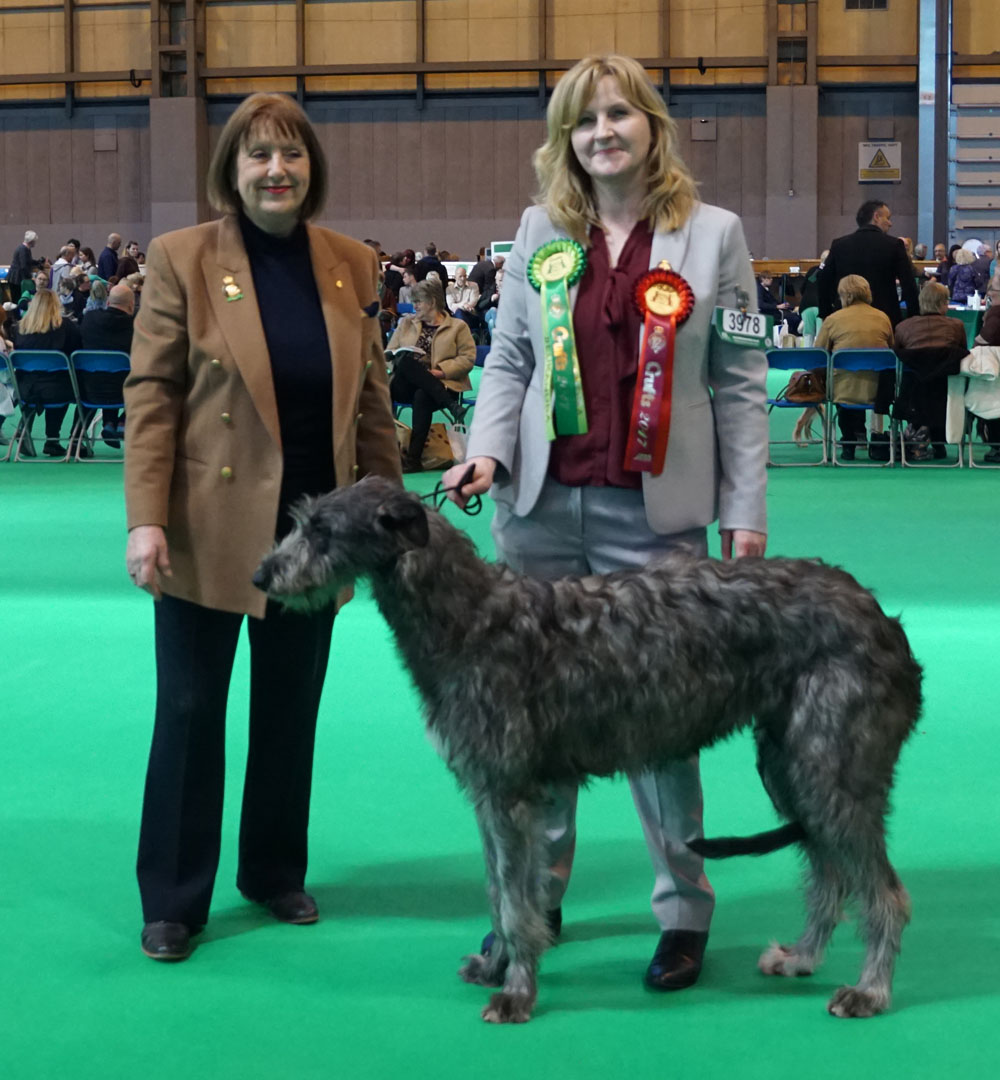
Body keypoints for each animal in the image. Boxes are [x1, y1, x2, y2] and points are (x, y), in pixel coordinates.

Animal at [255, 477, 924, 1023]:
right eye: (301, 521)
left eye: (321, 530)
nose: (261, 576)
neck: (469, 617)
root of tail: (883, 620)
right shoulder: (490, 793)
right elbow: (501, 892)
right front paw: (495, 967)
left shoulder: (509, 794)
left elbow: (516, 901)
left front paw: (516, 993)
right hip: (790, 766)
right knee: (830, 875)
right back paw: (803, 957)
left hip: (831, 766)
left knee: (884, 891)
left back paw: (870, 991)